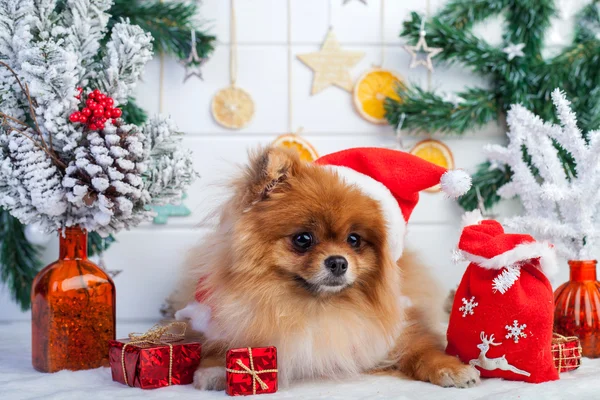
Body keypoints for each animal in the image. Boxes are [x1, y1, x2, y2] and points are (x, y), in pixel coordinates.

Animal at [168, 146, 478, 390]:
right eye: (303, 239)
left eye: (354, 240)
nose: (338, 261)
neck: (319, 308)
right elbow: (216, 342)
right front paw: (215, 368)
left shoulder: (398, 325)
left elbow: (423, 347)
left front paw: (451, 368)